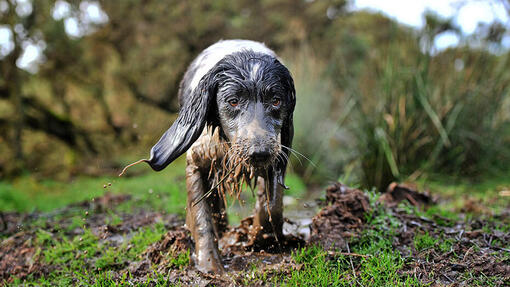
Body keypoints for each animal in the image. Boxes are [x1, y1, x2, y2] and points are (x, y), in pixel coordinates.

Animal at [136, 39, 294, 274]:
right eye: (233, 101)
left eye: (276, 100)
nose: (259, 153)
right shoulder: (197, 163)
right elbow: (202, 218)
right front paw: (209, 265)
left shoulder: (275, 157)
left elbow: (272, 206)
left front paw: (260, 238)